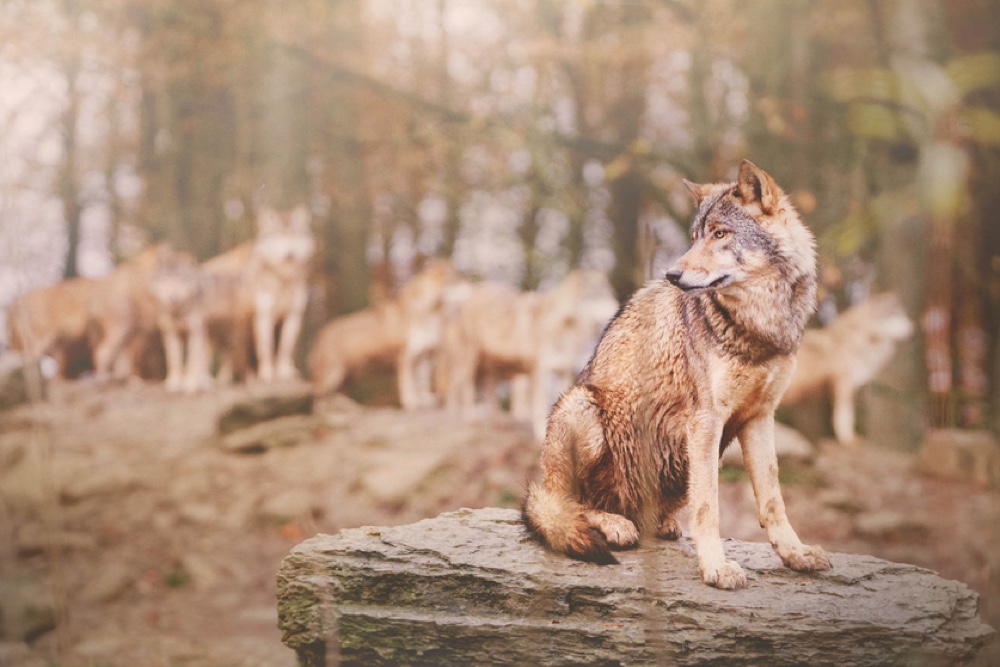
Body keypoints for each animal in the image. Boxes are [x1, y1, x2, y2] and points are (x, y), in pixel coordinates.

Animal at [520, 162, 832, 588]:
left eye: (720, 234)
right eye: (695, 236)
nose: (672, 274)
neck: (758, 326)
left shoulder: (760, 417)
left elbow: (772, 501)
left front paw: (795, 554)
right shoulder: (705, 421)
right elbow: (708, 507)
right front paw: (716, 567)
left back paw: (659, 524)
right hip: (581, 406)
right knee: (567, 506)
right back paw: (614, 524)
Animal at [780, 290, 916, 444]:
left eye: (904, 315)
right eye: (897, 315)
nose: (914, 330)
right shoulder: (843, 387)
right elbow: (844, 418)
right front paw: (848, 440)